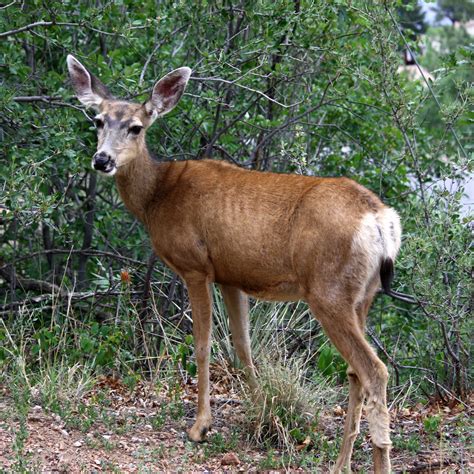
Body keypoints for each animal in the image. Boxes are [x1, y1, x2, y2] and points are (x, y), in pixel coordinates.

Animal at [67, 54, 400, 470]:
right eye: (98, 120)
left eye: (136, 127)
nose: (102, 160)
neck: (158, 195)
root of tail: (382, 219)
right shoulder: (231, 275)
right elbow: (243, 345)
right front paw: (262, 413)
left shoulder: (195, 265)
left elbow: (203, 343)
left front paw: (200, 426)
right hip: (362, 296)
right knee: (356, 371)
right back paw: (340, 465)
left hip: (328, 291)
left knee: (374, 370)